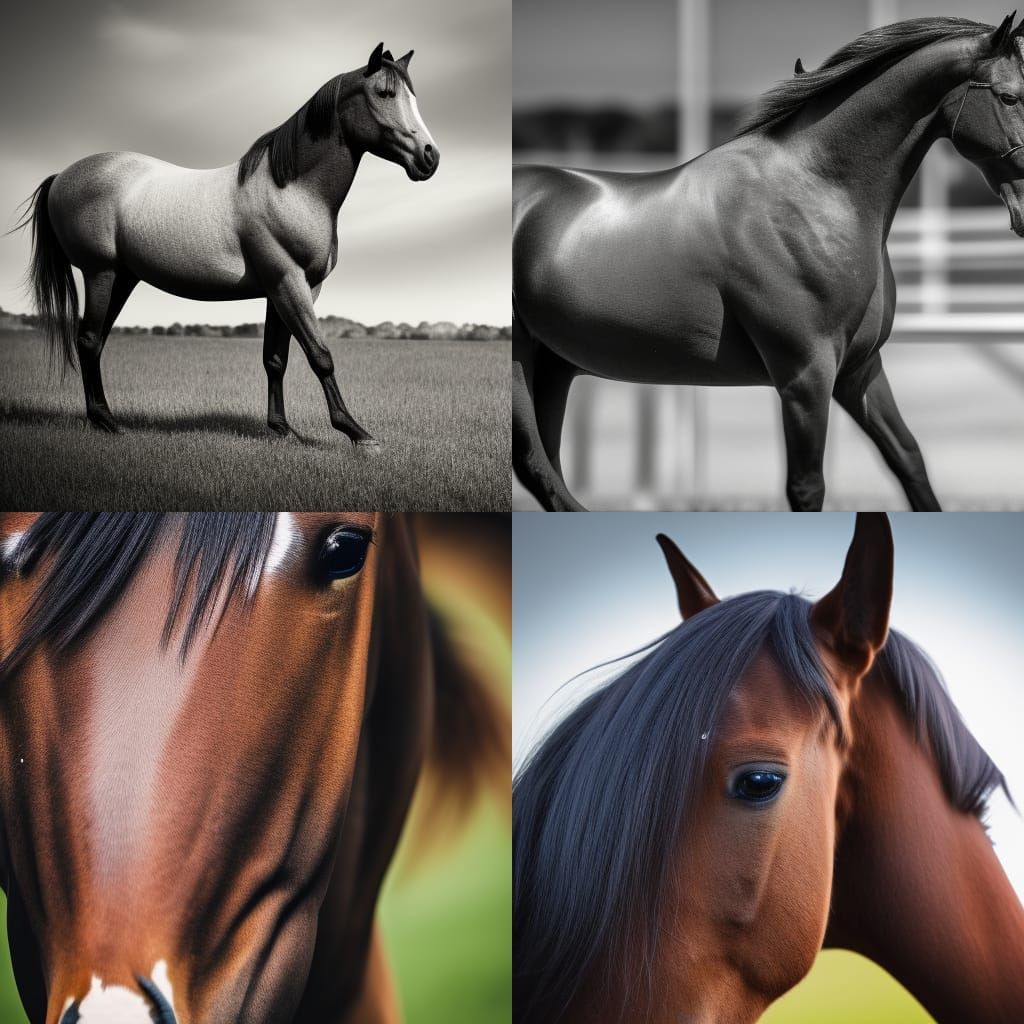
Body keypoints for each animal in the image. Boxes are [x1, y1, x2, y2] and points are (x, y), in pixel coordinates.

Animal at [14, 42, 438, 445]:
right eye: (384, 92)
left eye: (413, 97)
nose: (430, 157)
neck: (292, 189)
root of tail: (62, 175)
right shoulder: (289, 283)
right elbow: (320, 355)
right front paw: (357, 433)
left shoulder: (288, 289)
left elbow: (276, 359)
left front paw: (282, 429)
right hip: (100, 273)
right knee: (88, 341)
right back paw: (107, 423)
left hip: (122, 277)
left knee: (95, 341)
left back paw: (102, 419)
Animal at [512, 15, 1024, 511]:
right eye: (1009, 96)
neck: (815, 192)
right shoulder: (805, 376)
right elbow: (807, 487)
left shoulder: (859, 370)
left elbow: (909, 460)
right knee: (536, 466)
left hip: (555, 367)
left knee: (546, 471)